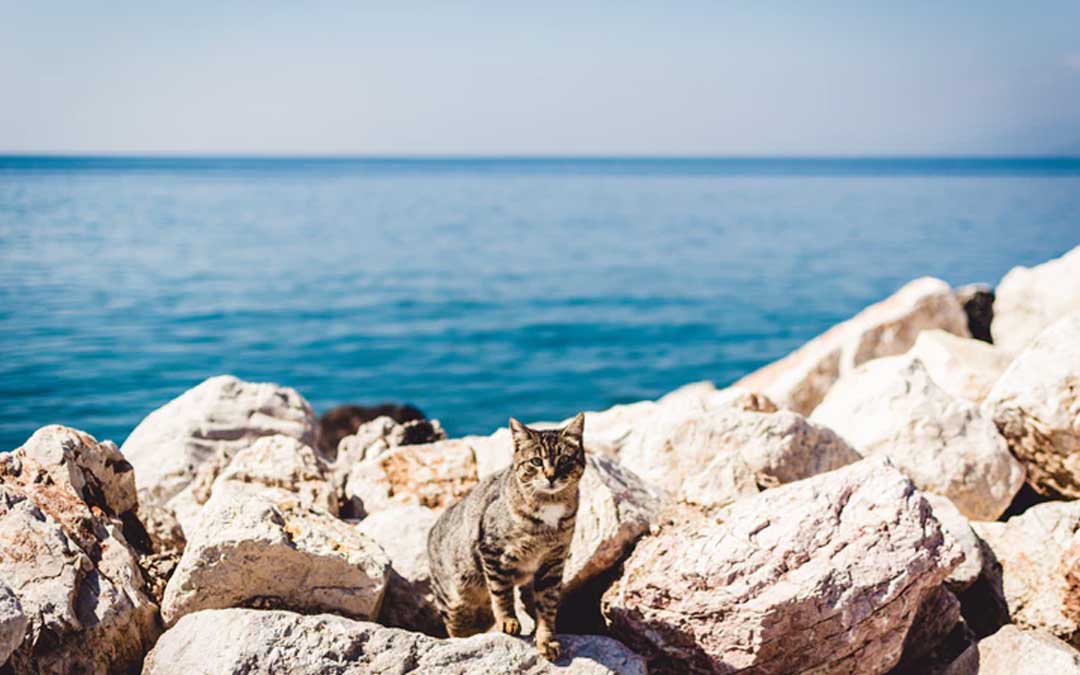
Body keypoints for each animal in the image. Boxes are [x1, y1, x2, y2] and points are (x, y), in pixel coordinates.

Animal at [425, 410, 587, 656]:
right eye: (536, 461)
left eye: (565, 460)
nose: (550, 476)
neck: (550, 506)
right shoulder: (493, 551)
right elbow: (502, 592)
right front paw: (508, 621)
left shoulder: (553, 561)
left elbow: (547, 604)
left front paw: (546, 638)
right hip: (454, 600)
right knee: (458, 628)